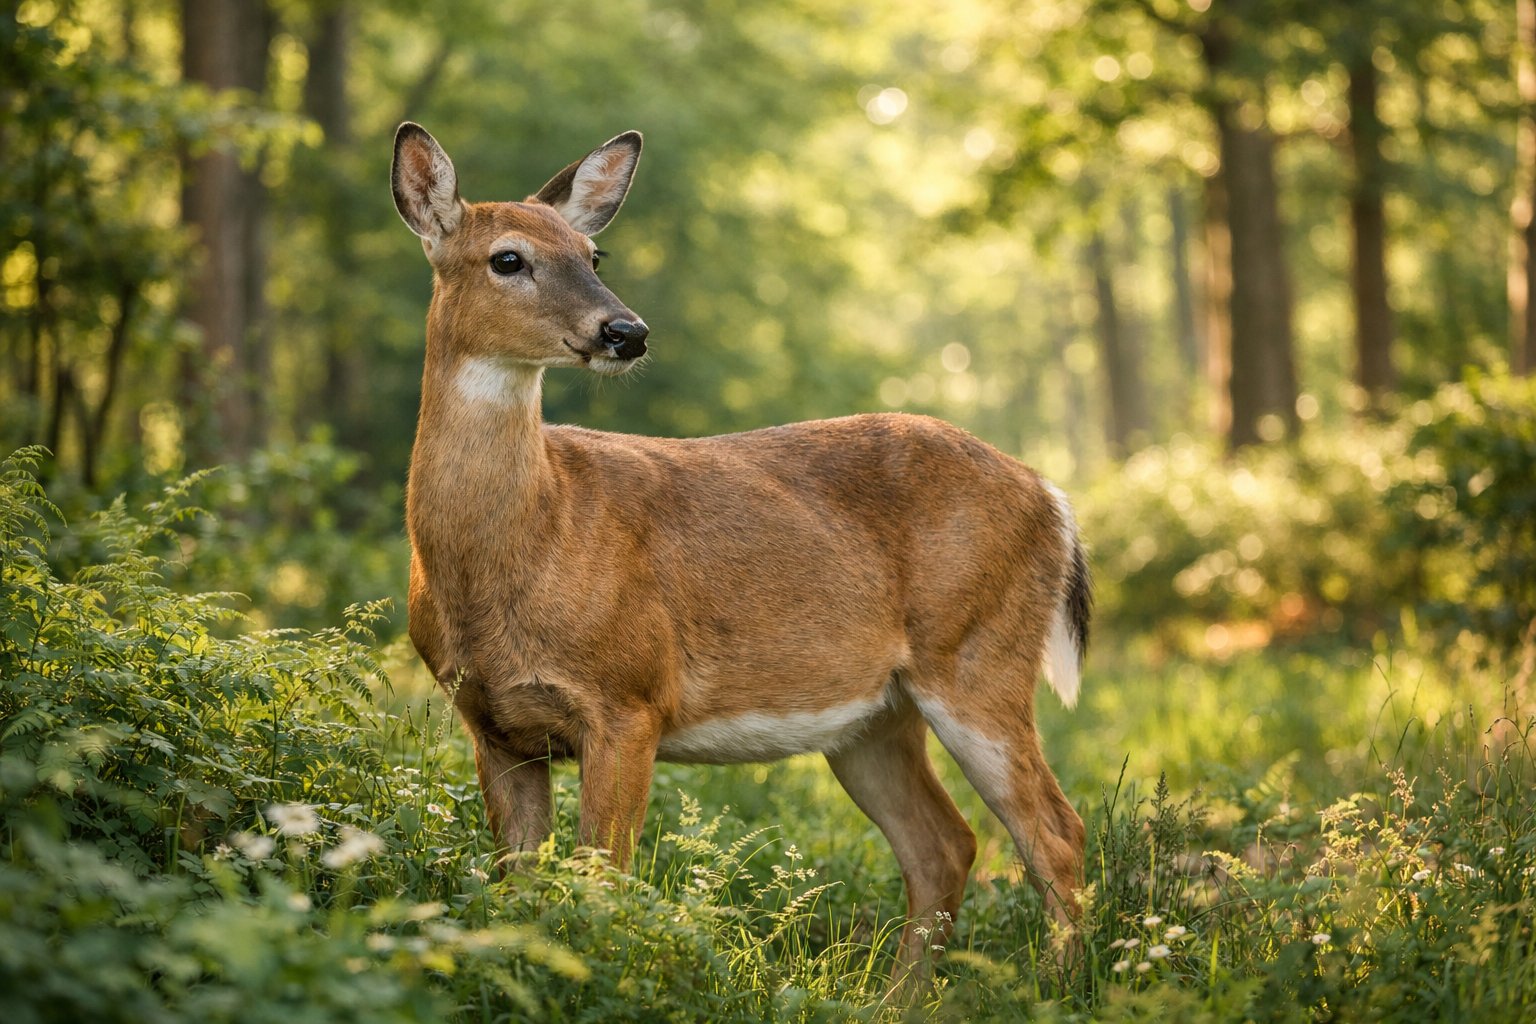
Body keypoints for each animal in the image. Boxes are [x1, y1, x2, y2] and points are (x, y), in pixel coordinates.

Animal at [391, 121, 1092, 981]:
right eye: (508, 259)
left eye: (594, 256)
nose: (626, 332)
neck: (526, 542)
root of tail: (1052, 496)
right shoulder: (492, 725)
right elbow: (519, 892)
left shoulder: (631, 698)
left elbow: (602, 882)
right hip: (874, 716)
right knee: (945, 844)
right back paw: (895, 998)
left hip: (978, 658)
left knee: (1054, 833)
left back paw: (1056, 985)